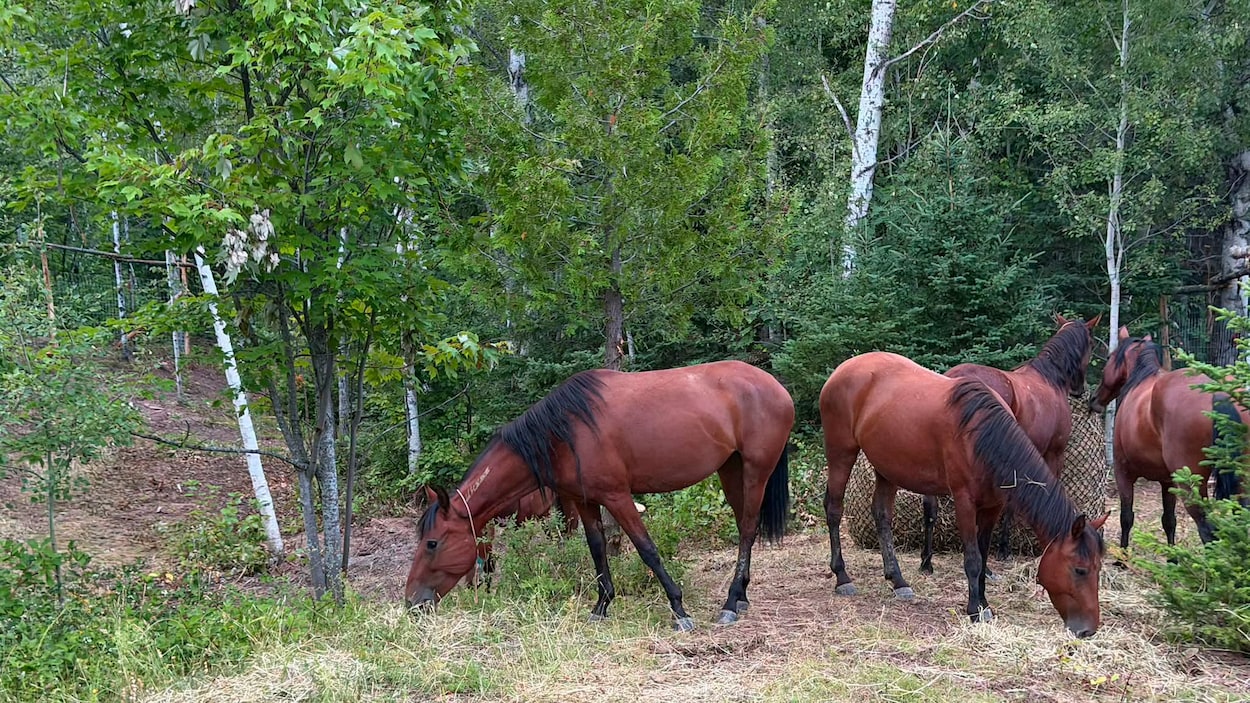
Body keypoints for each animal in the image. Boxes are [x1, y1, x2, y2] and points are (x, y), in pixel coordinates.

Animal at [404, 360, 794, 631]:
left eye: (433, 543)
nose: (412, 603)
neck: (563, 434)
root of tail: (776, 387)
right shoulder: (583, 501)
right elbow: (597, 550)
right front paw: (601, 606)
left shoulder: (618, 497)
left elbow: (647, 550)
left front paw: (678, 609)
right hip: (730, 470)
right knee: (746, 525)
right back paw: (740, 597)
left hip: (756, 471)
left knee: (747, 528)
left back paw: (730, 602)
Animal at [820, 352, 1107, 637]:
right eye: (1080, 570)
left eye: (1098, 568)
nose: (1088, 630)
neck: (983, 437)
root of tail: (844, 368)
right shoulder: (964, 502)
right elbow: (972, 559)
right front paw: (974, 610)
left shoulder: (992, 506)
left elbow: (983, 555)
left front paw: (984, 604)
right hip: (841, 452)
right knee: (834, 508)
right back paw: (842, 577)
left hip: (887, 467)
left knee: (881, 515)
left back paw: (898, 580)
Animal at [920, 314, 1100, 573]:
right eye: (1092, 344)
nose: (1079, 390)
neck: (1050, 379)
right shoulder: (1053, 453)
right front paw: (1005, 548)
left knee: (930, 507)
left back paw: (926, 560)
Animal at [1088, 327, 1247, 547]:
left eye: (1109, 358)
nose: (1094, 399)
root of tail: (1220, 394)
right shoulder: (1168, 480)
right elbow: (1169, 520)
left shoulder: (1123, 472)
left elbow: (1126, 517)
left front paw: (1123, 552)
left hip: (1192, 485)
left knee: (1207, 530)